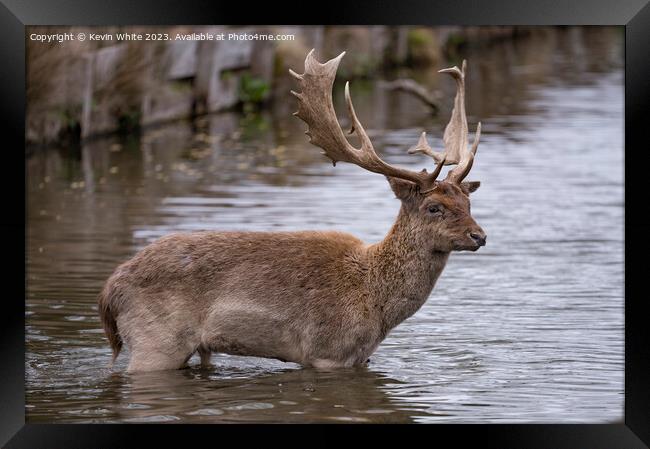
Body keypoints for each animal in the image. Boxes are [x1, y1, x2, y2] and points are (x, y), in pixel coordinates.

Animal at [98, 50, 486, 372]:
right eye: (434, 207)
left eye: (468, 203)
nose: (479, 235)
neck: (375, 303)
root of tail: (108, 291)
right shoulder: (328, 352)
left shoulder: (361, 358)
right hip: (155, 342)